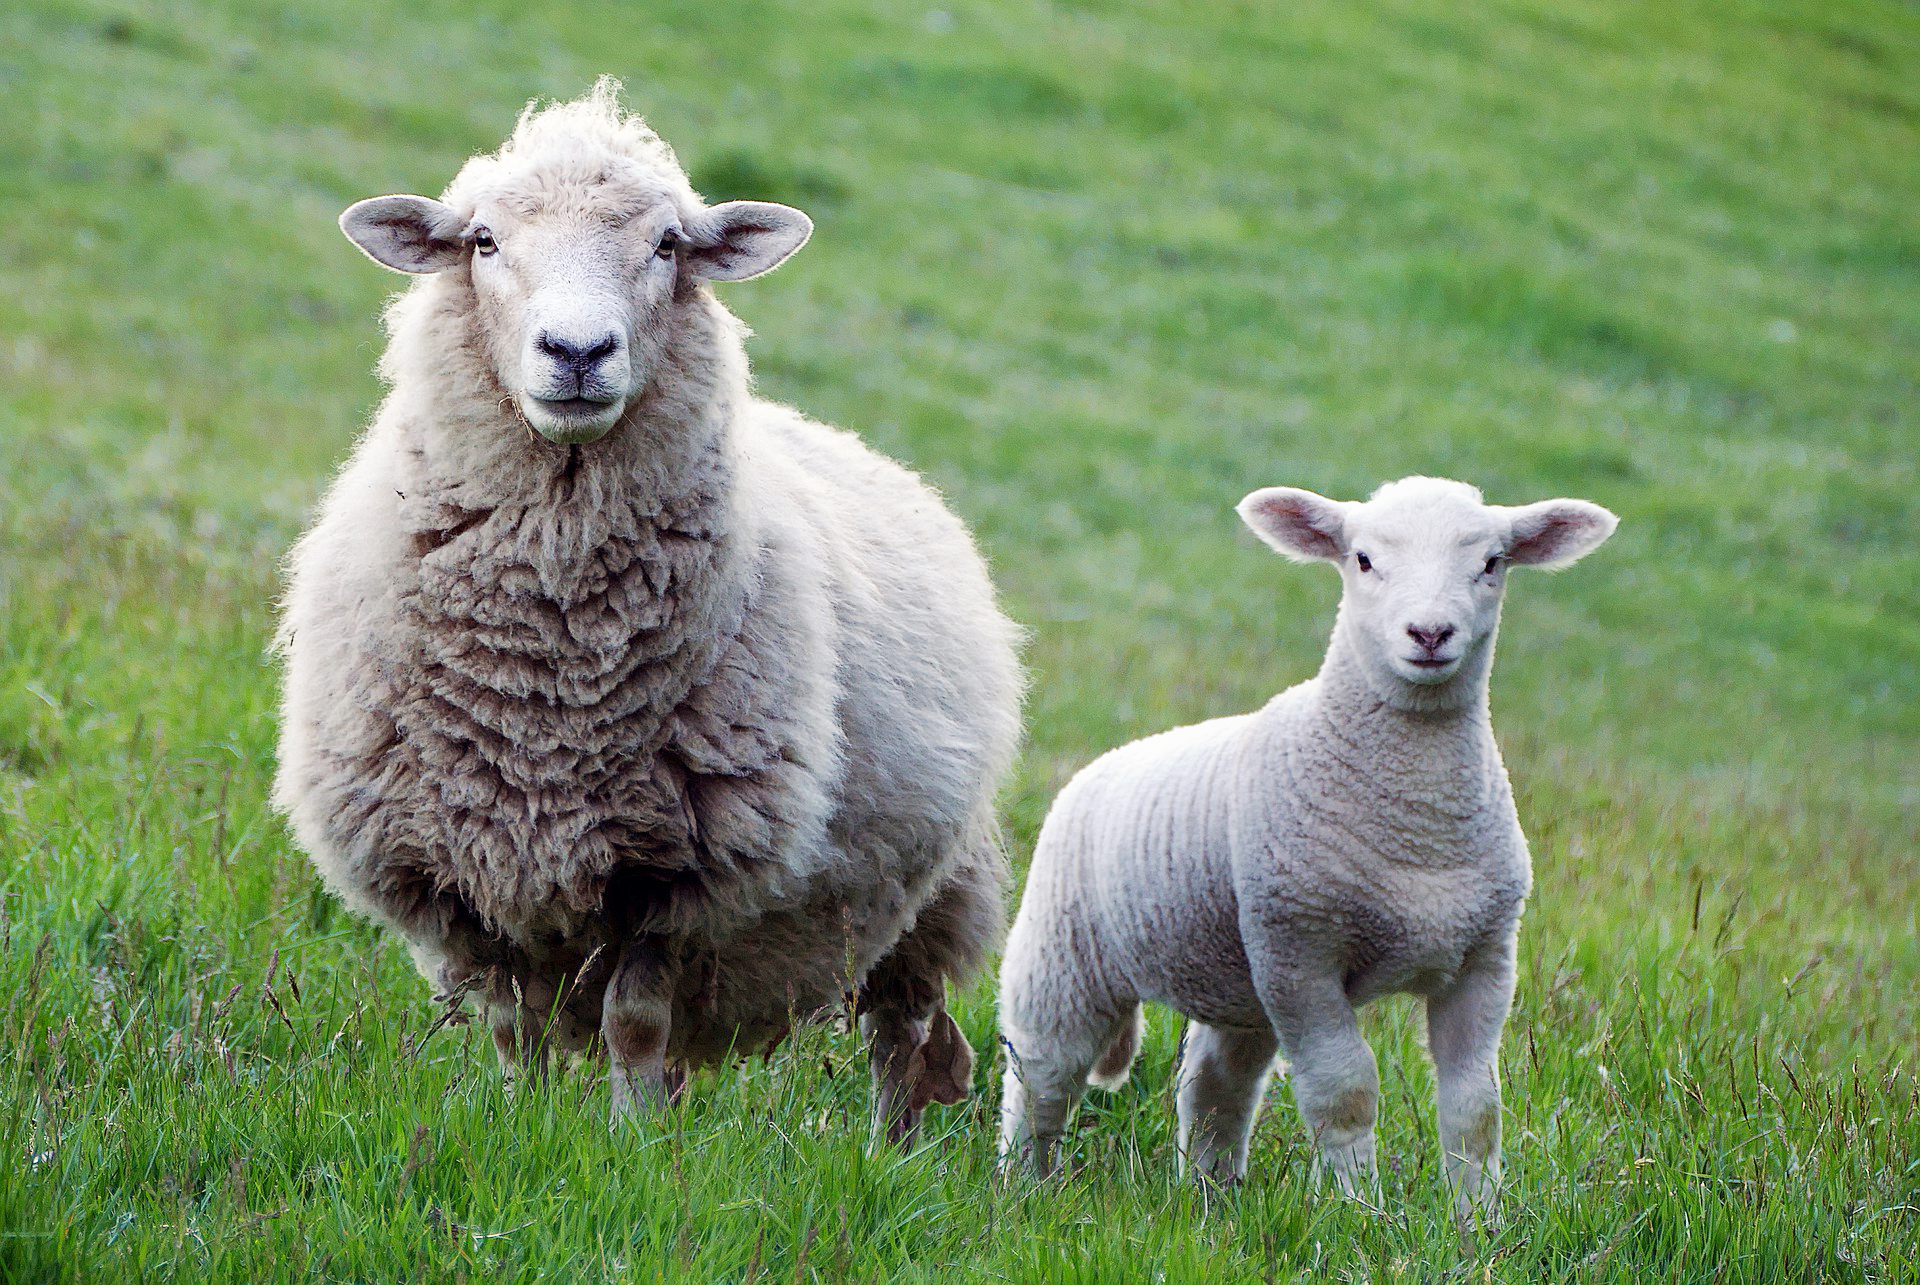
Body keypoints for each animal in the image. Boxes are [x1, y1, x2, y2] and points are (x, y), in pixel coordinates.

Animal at [272, 79, 1023, 1143]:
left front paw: (629, 1149)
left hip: (928, 892)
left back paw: (887, 1152)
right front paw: (529, 1127)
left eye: (667, 244)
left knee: (900, 1032)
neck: (547, 672)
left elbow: (632, 1020)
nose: (578, 351)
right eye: (484, 241)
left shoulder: (675, 873)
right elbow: (513, 1028)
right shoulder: (460, 869)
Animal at [997, 476, 1616, 1220]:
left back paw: (1212, 1196)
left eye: (1493, 563)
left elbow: (1476, 1106)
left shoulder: (1484, 958)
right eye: (1363, 559)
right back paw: (1023, 1188)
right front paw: (1360, 1212)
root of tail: (1098, 767)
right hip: (1065, 955)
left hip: (1239, 979)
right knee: (1041, 1075)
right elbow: (1344, 1090)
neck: (1419, 827)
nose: (1430, 633)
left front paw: (1481, 1220)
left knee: (1215, 1086)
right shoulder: (1302, 952)